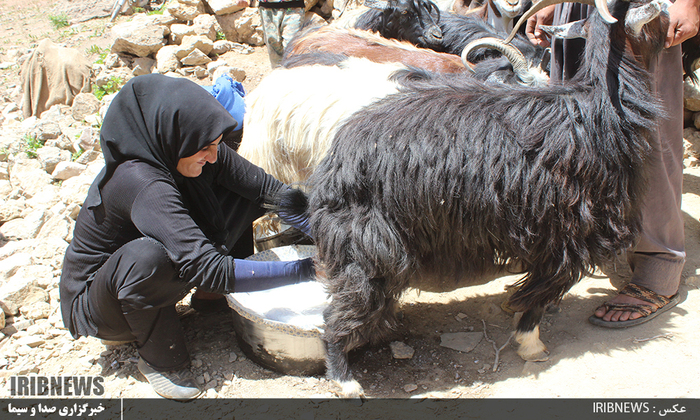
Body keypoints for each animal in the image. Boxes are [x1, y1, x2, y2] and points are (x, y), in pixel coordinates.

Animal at [280, 0, 672, 398]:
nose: (668, 12)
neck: (599, 105)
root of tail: (334, 164)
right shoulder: (568, 232)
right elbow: (543, 290)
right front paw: (531, 344)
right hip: (368, 248)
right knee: (340, 310)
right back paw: (345, 378)